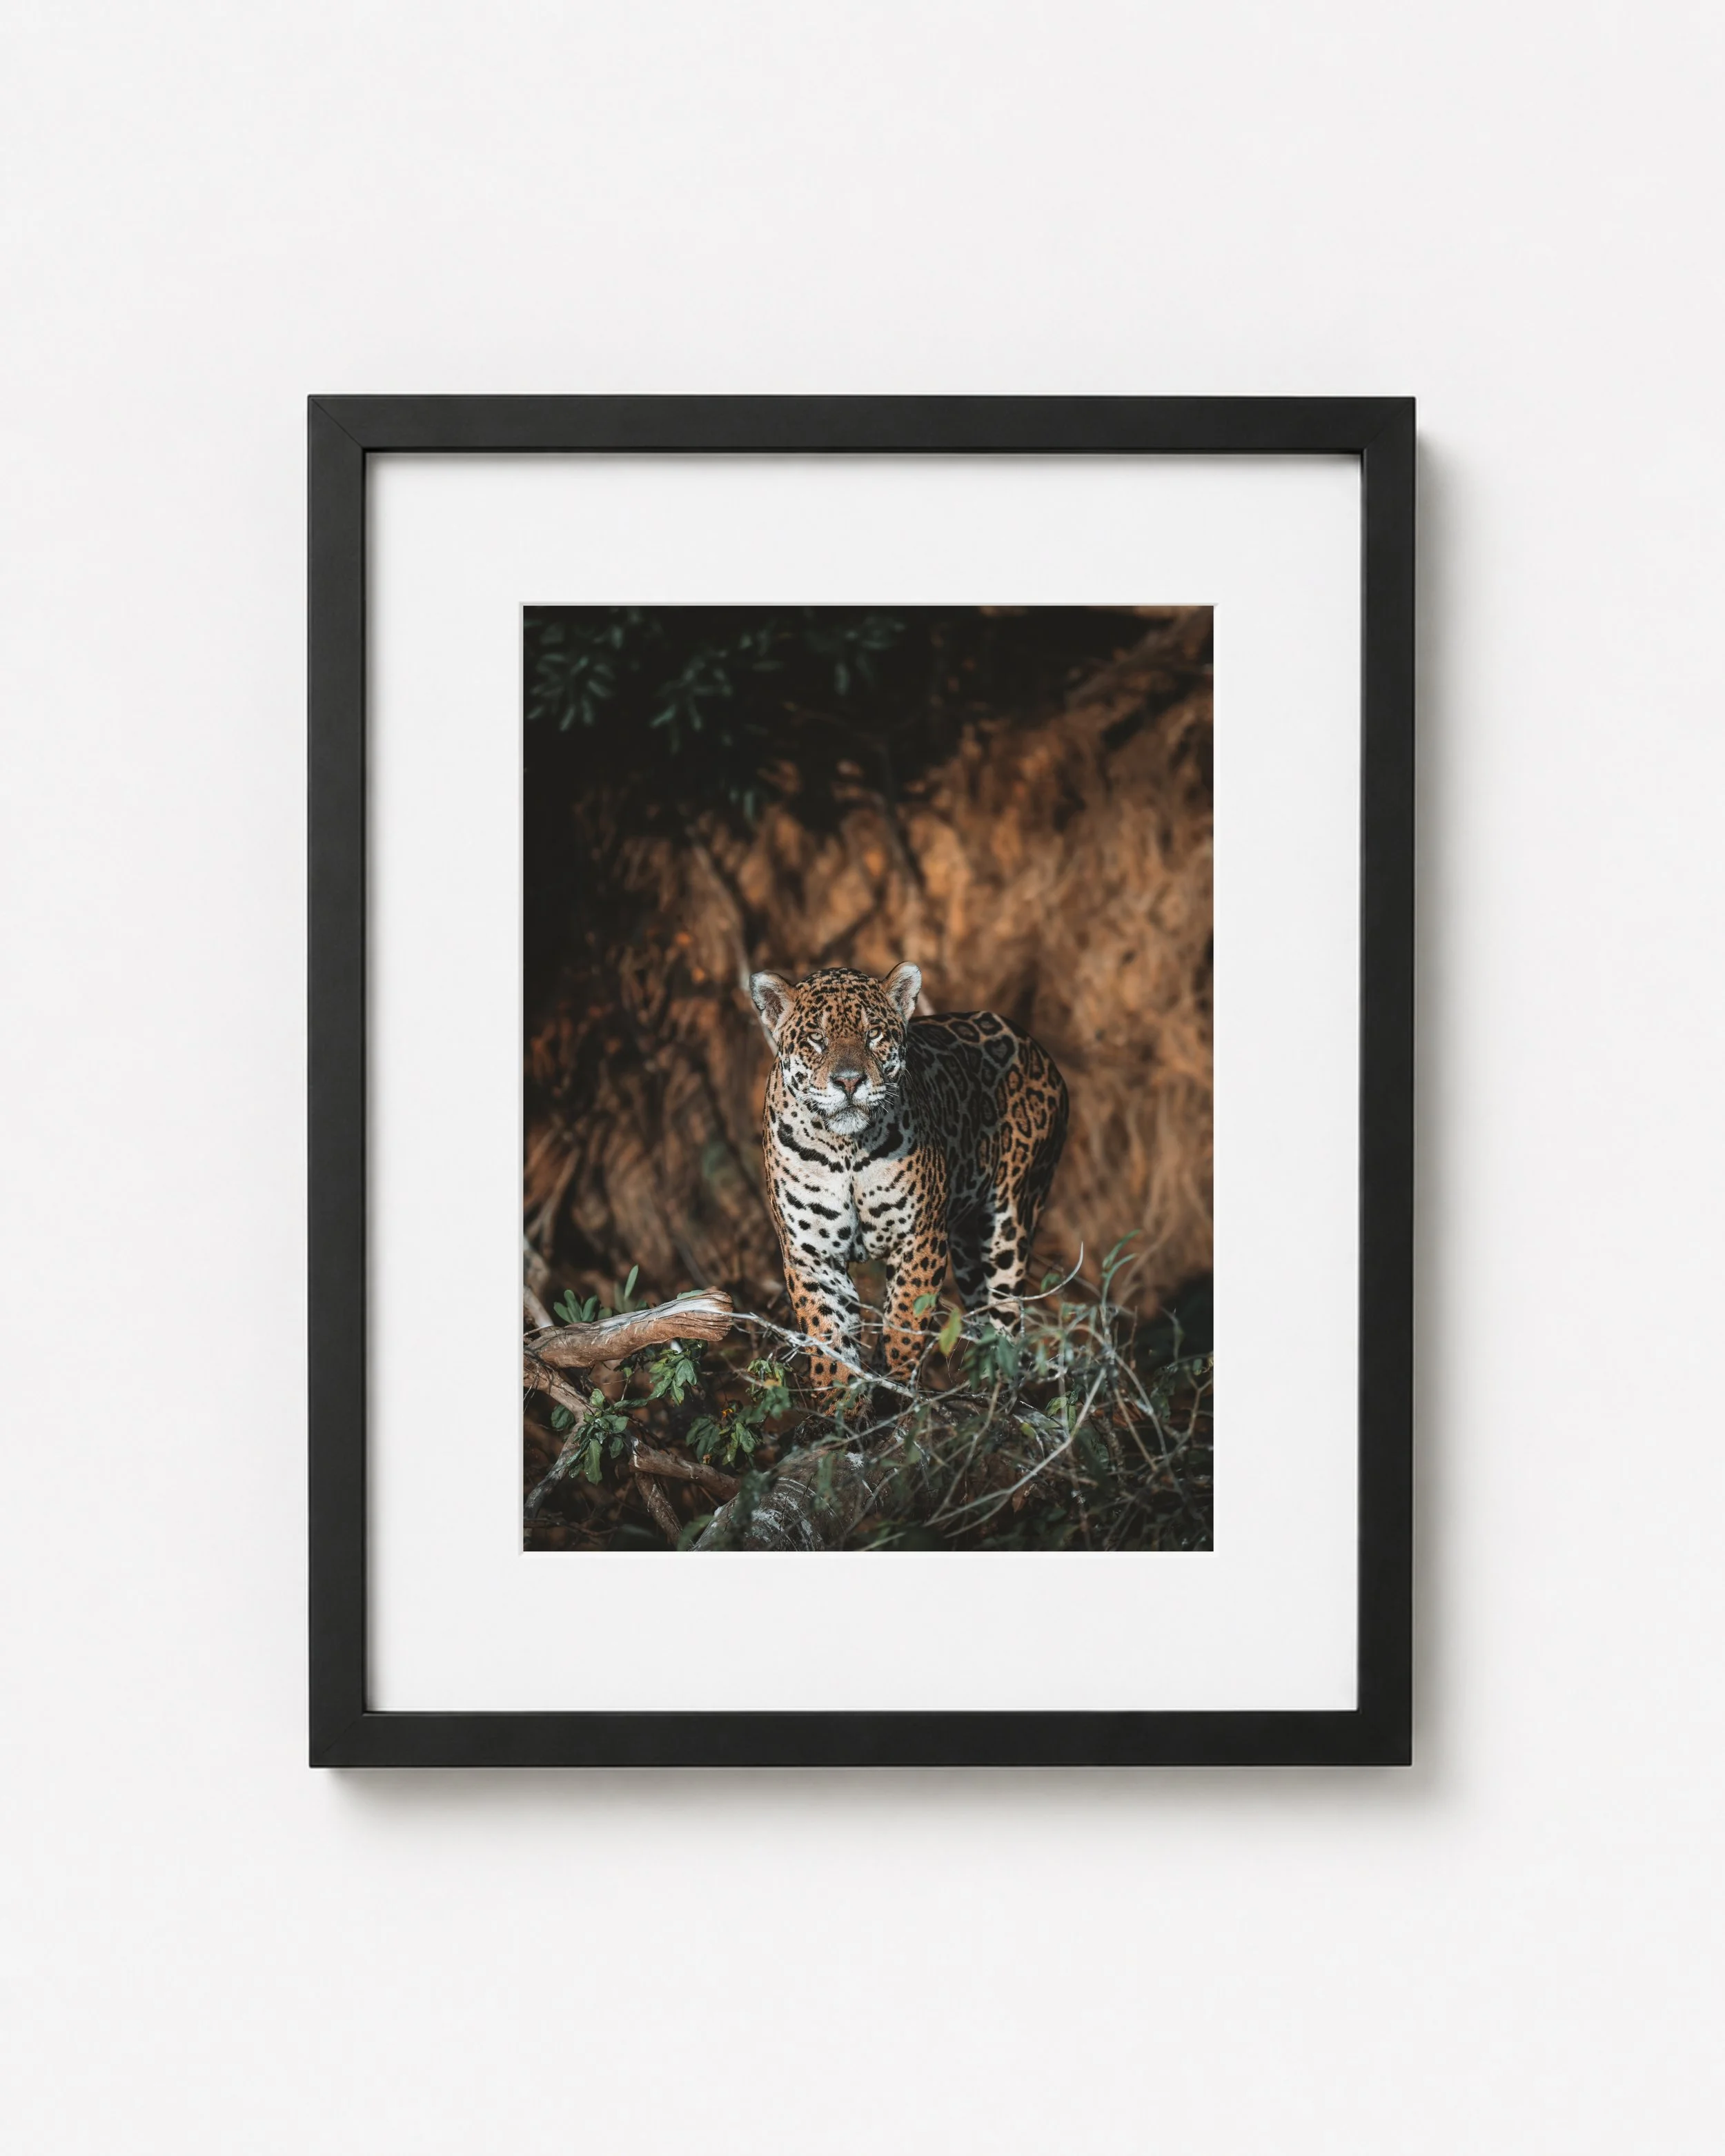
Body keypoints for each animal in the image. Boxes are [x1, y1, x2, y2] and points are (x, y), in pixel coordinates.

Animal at [749, 961, 1069, 1388]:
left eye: (874, 1035)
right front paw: (842, 1399)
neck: (846, 1147)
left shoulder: (920, 1239)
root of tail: (1035, 1046)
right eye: (817, 1039)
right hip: (967, 1245)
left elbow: (904, 1324)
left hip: (1010, 1224)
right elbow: (830, 1341)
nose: (849, 1081)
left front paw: (898, 1386)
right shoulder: (811, 1254)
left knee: (1007, 1321)